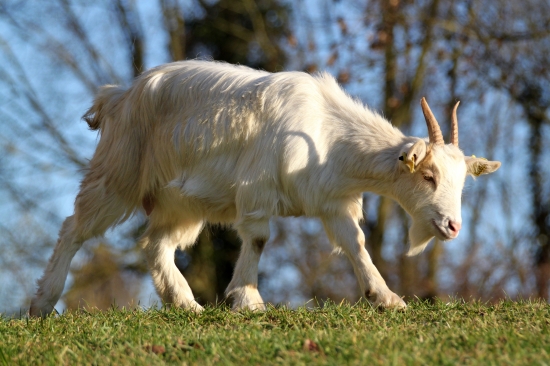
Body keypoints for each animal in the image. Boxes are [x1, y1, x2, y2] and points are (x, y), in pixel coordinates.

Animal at [30, 59, 504, 314]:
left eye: (462, 182)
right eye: (428, 176)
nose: (452, 226)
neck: (328, 134)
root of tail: (118, 96)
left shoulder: (333, 201)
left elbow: (355, 244)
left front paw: (385, 297)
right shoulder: (257, 190)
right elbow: (258, 239)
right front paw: (249, 299)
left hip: (180, 202)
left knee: (155, 243)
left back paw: (186, 304)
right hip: (118, 175)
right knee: (75, 226)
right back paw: (42, 304)